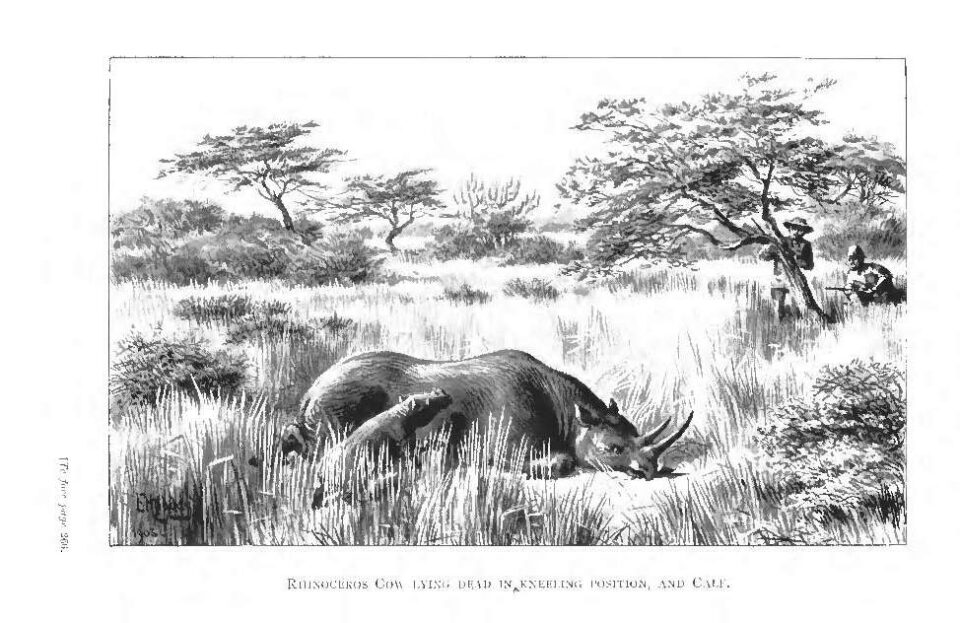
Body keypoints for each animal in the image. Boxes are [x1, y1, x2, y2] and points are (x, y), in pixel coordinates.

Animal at [282, 349, 694, 480]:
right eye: (612, 450)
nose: (651, 471)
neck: (571, 415)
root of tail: (308, 393)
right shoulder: (507, 441)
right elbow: (560, 460)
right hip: (336, 401)